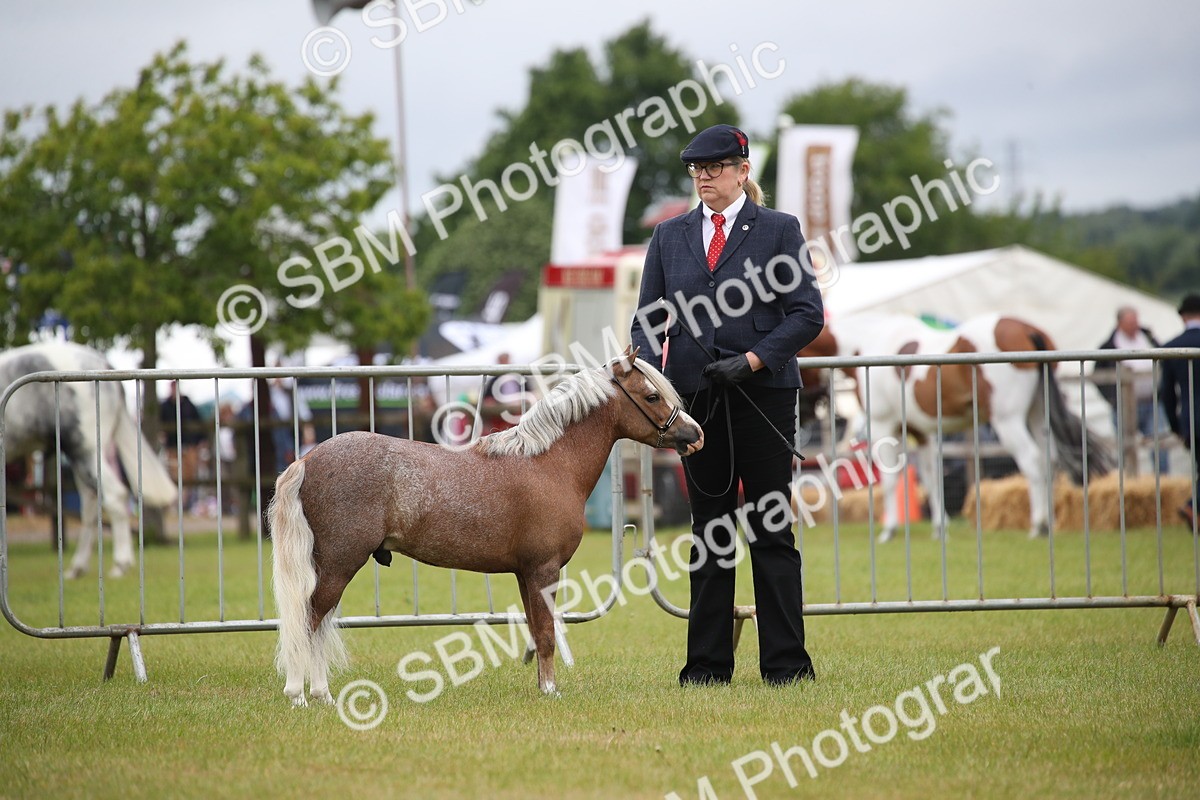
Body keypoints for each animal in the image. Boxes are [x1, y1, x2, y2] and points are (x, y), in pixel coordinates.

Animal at [0, 342, 178, 577]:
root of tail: (102, 362)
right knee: (92, 505)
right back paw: (78, 567)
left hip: (85, 447)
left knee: (113, 496)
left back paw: (119, 564)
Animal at [269, 347, 704, 705]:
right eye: (652, 396)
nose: (695, 434)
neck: (548, 464)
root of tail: (307, 460)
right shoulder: (544, 570)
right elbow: (547, 634)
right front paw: (551, 690)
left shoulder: (525, 573)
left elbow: (535, 630)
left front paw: (542, 686)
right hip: (340, 563)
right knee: (308, 621)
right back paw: (303, 695)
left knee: (316, 623)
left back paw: (321, 694)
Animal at [799, 312, 1115, 540]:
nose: (808, 412)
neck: (868, 343)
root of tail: (1026, 329)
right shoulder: (920, 432)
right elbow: (930, 478)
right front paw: (940, 528)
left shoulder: (882, 426)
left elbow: (889, 480)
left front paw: (889, 530)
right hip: (1037, 415)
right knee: (1050, 459)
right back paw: (1049, 521)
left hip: (1007, 420)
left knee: (1033, 461)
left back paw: (1038, 525)